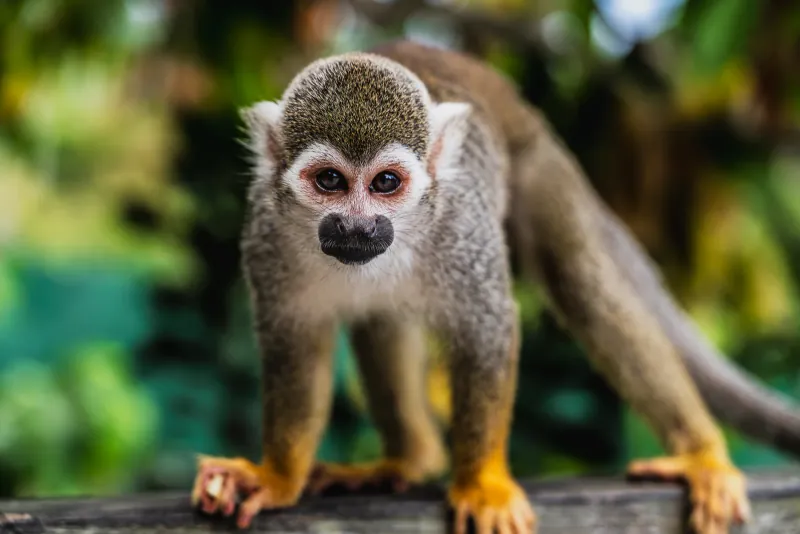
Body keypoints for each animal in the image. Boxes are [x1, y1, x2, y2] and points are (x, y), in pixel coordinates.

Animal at [190, 40, 800, 534]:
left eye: (386, 183)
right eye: (329, 182)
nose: (358, 228)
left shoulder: (461, 221)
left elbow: (487, 327)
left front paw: (482, 483)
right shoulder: (266, 233)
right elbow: (295, 340)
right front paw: (275, 476)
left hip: (540, 170)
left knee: (580, 281)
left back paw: (700, 454)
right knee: (381, 318)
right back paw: (408, 459)